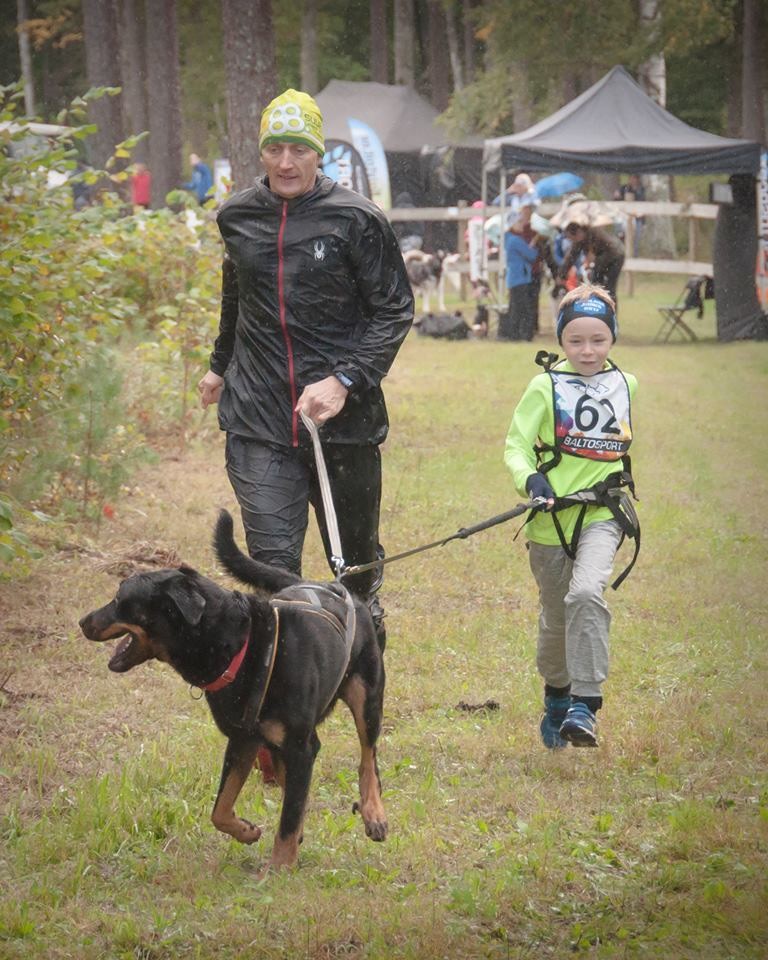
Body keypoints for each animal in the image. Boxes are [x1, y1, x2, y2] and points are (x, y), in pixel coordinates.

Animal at [81, 512, 388, 872]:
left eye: (119, 599)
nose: (82, 622)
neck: (243, 645)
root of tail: (338, 586)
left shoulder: (300, 745)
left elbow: (287, 820)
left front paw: (279, 869)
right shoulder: (243, 740)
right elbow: (221, 808)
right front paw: (246, 831)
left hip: (366, 695)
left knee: (368, 757)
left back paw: (373, 812)